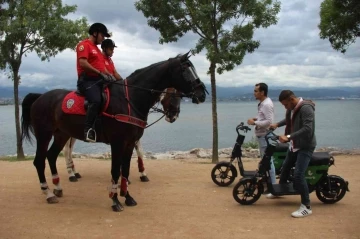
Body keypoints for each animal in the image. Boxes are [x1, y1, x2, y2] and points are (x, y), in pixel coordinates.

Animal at [21, 53, 207, 212]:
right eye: (185, 70)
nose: (202, 94)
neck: (130, 99)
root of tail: (40, 97)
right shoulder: (118, 143)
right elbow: (116, 170)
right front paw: (115, 199)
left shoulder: (130, 142)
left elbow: (126, 169)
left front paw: (128, 196)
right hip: (44, 134)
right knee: (40, 161)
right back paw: (48, 192)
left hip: (61, 134)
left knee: (51, 156)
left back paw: (58, 187)